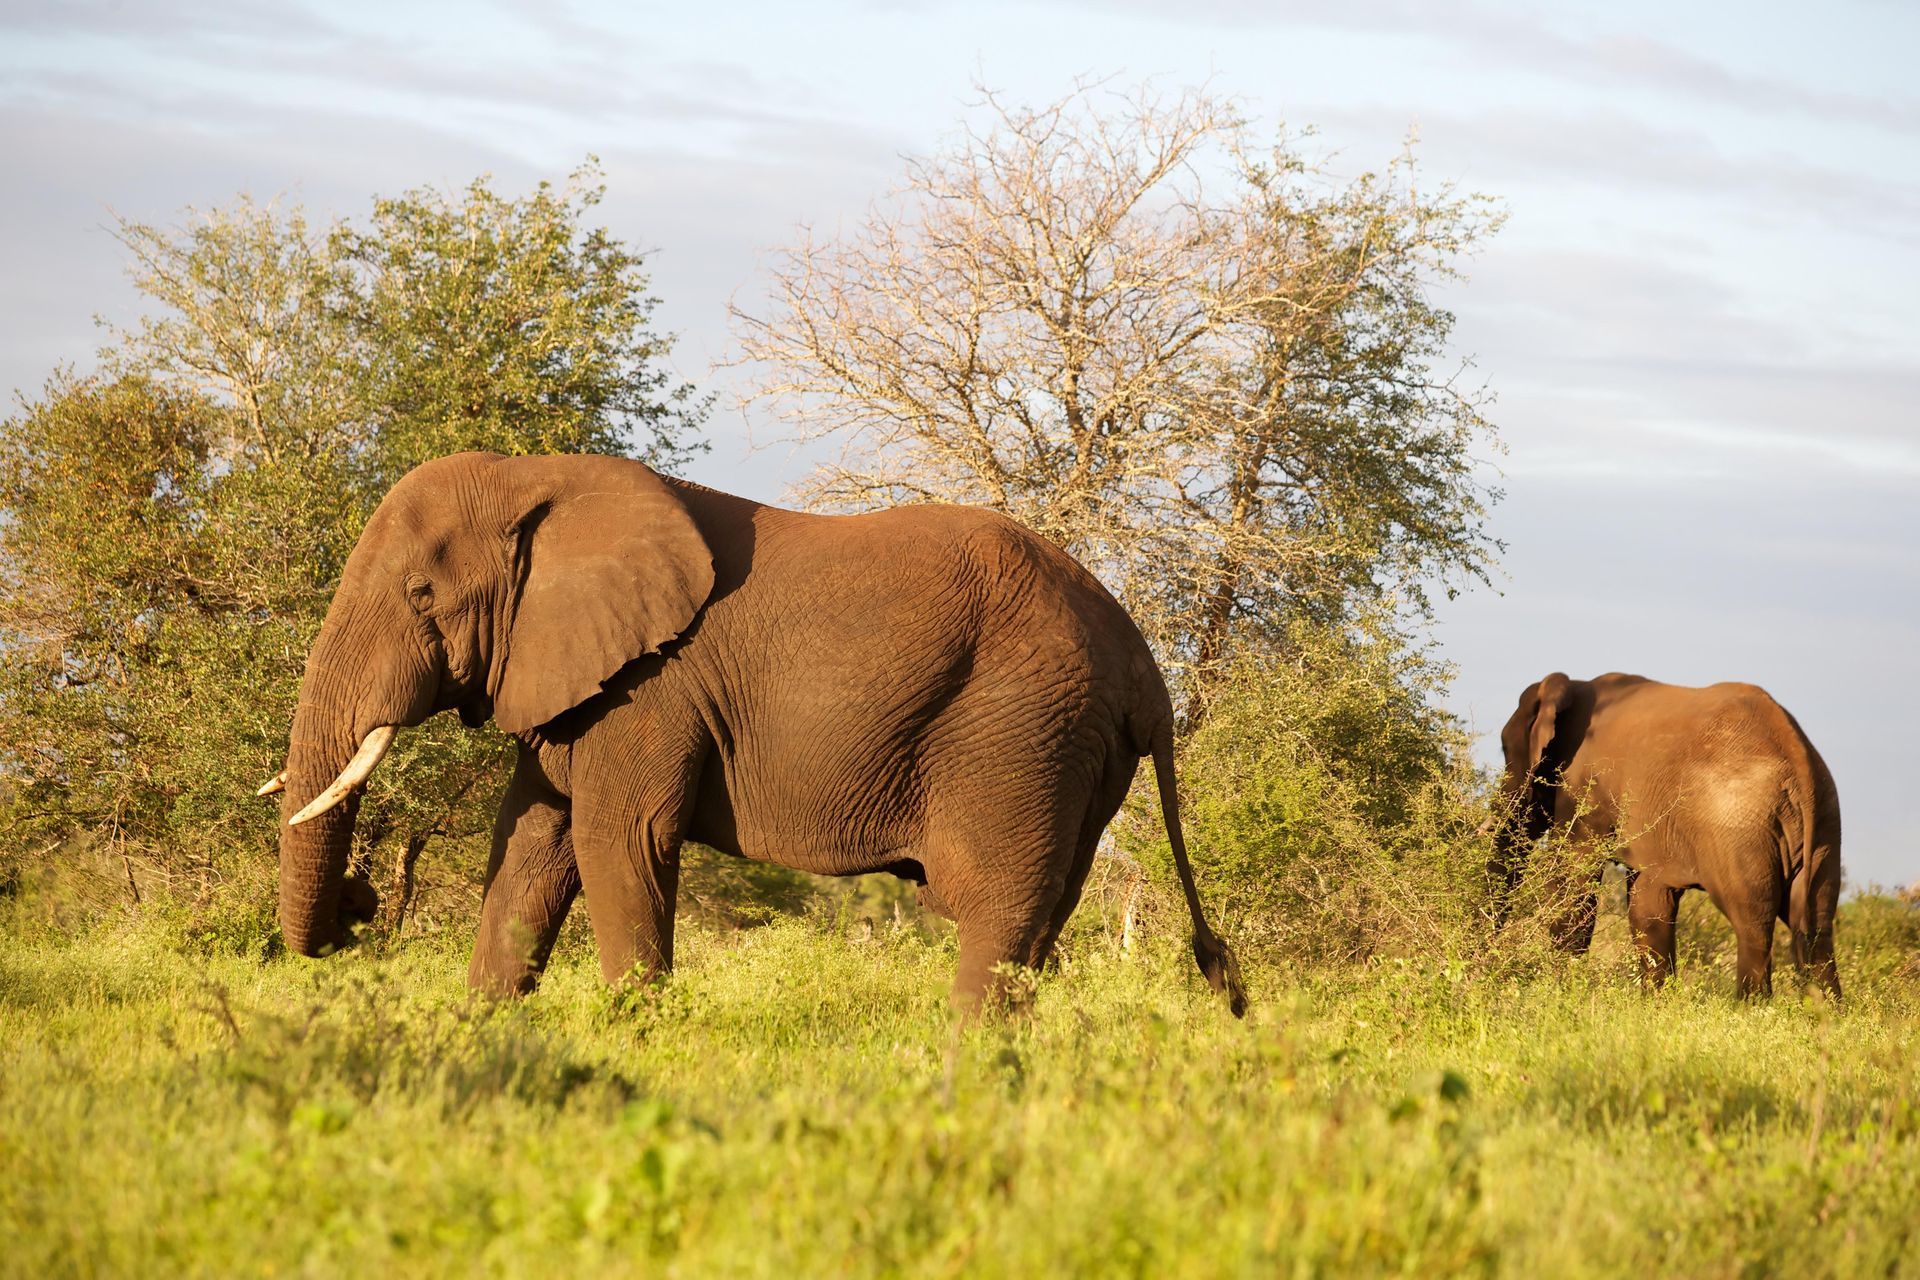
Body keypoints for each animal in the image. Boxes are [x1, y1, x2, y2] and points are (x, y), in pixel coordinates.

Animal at [262, 451, 1246, 1016]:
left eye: (420, 596)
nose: (357, 904)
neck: (539, 475)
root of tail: (1145, 670)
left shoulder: (652, 689)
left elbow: (619, 840)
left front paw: (634, 1039)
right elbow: (532, 846)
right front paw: (483, 1032)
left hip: (1023, 732)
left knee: (996, 909)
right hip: (1075, 753)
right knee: (1044, 917)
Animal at [1489, 672, 1841, 999]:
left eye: (1506, 749)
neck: (1573, 686)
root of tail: (1798, 757)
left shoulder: (1584, 789)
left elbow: (1574, 878)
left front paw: (1560, 990)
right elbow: (1648, 904)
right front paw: (1655, 1005)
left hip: (1739, 826)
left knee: (1752, 923)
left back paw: (1749, 1009)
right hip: (1824, 827)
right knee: (1816, 927)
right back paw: (1824, 1014)